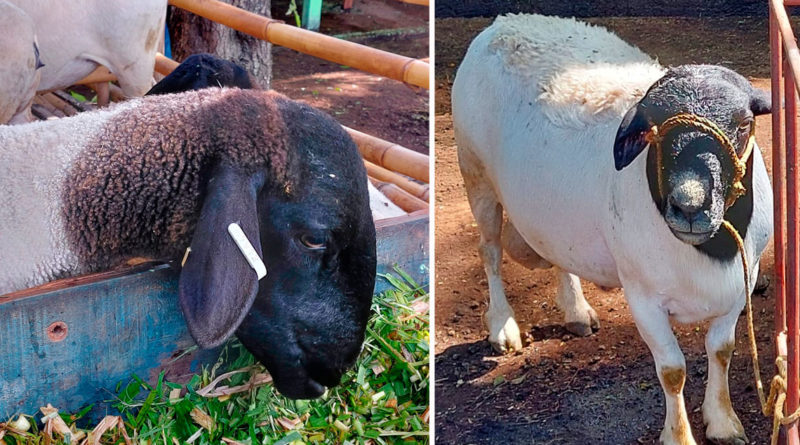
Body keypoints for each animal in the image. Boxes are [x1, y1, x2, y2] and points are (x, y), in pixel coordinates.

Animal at [456, 13, 776, 440]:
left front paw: (723, 422)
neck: (709, 251)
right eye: (653, 130)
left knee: (557, 253)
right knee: (489, 250)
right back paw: (503, 327)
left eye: (744, 124)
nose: (689, 205)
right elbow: (672, 371)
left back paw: (576, 312)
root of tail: (504, 23)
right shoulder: (642, 298)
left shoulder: (742, 284)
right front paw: (679, 436)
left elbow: (721, 350)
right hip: (476, 174)